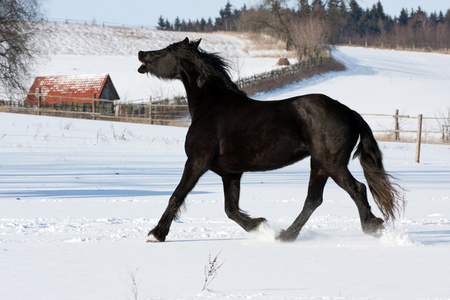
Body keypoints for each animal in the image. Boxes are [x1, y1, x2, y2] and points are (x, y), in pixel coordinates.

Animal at [137, 38, 400, 244]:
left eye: (165, 51)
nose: (141, 54)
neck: (212, 108)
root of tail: (349, 112)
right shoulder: (230, 173)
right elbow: (230, 209)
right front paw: (259, 225)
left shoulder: (196, 162)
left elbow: (177, 195)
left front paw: (156, 234)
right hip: (319, 165)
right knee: (313, 199)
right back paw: (285, 235)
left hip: (331, 163)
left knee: (356, 189)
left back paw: (372, 227)